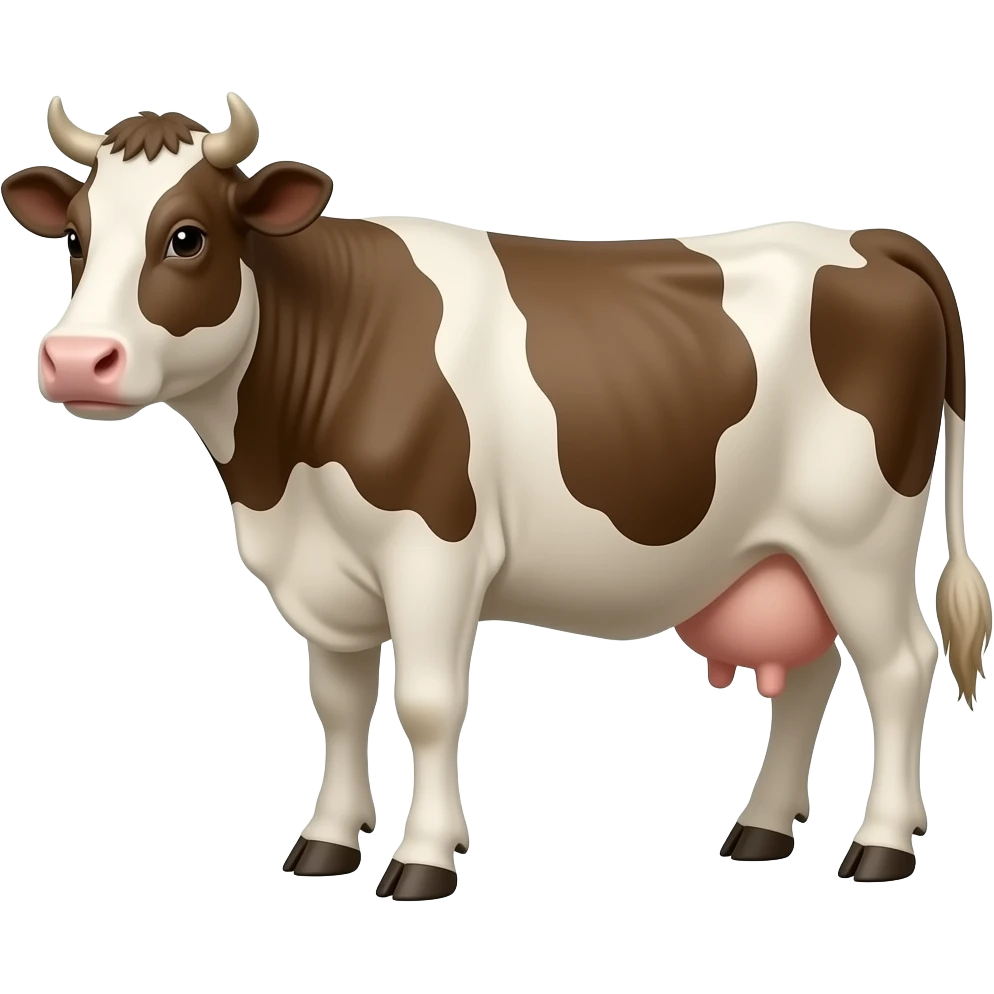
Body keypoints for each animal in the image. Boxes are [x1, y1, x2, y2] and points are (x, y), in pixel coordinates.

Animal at [4, 93, 990, 898]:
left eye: (187, 236)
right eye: (77, 237)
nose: (76, 361)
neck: (277, 472)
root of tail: (867, 238)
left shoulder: (434, 550)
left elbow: (428, 703)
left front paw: (422, 861)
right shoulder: (324, 572)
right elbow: (338, 704)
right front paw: (326, 843)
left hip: (858, 538)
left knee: (900, 667)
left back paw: (881, 846)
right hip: (783, 551)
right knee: (814, 673)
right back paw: (759, 830)